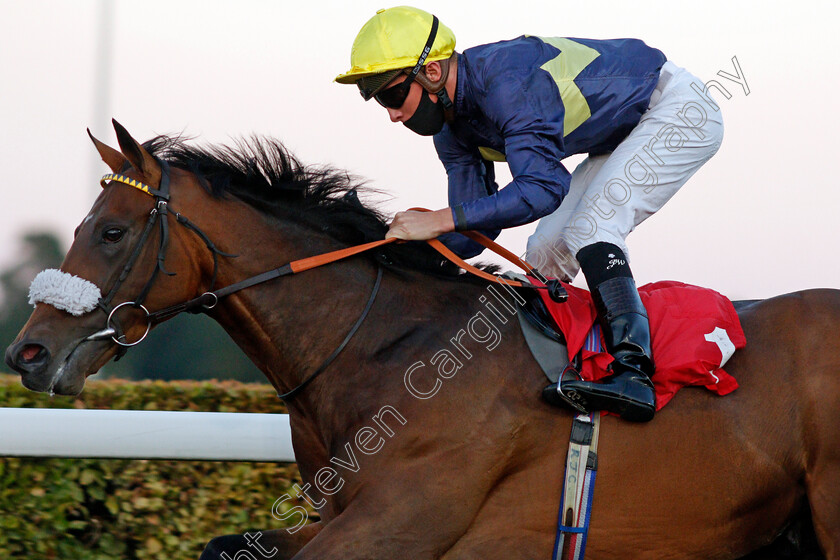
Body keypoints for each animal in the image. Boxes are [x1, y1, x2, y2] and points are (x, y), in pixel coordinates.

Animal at [3, 120, 836, 556]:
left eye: (110, 232)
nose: (27, 354)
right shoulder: (336, 523)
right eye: (83, 226)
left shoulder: (396, 529)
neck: (388, 350)